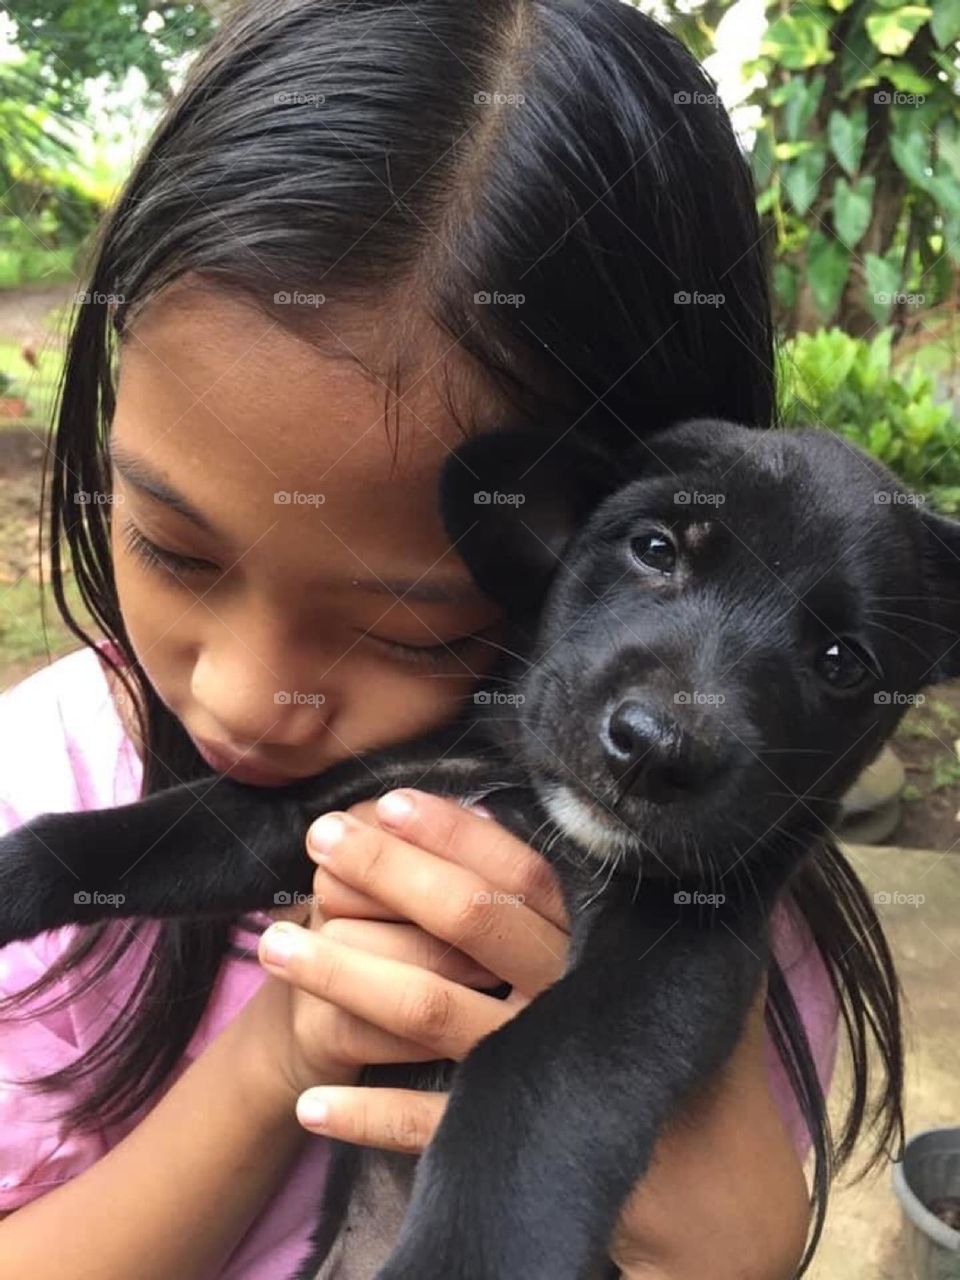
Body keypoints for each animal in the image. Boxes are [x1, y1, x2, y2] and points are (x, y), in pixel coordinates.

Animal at [3, 414, 957, 1274]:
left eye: (841, 662)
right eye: (655, 548)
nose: (655, 748)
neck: (534, 802)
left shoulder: (677, 951)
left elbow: (535, 1066)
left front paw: (467, 1250)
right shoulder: (320, 811)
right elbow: (144, 834)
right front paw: (15, 871)